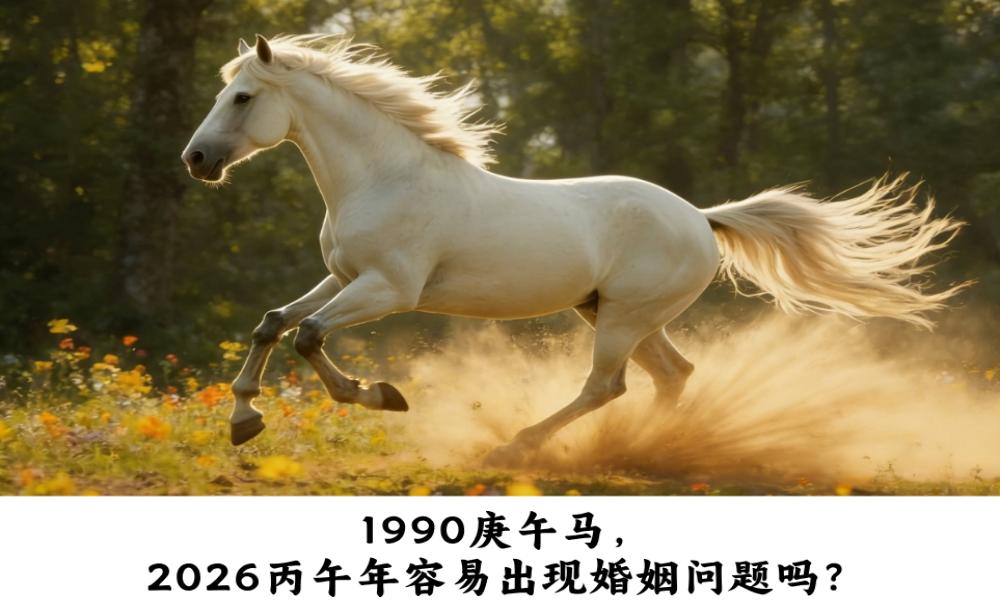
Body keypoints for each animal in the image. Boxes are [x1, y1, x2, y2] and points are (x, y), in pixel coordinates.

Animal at [182, 35, 966, 466]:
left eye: (243, 98)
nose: (196, 160)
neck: (385, 176)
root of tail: (701, 217)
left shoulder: (387, 289)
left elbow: (309, 337)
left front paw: (380, 395)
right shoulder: (341, 276)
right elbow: (273, 323)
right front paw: (245, 421)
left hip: (622, 317)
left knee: (606, 386)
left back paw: (515, 447)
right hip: (614, 313)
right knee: (673, 374)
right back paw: (654, 450)